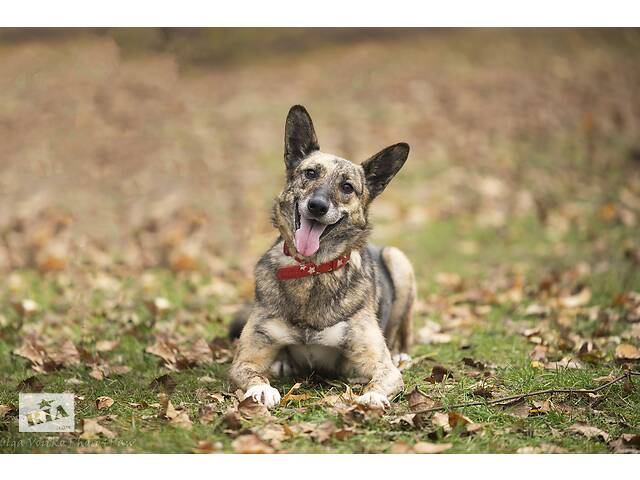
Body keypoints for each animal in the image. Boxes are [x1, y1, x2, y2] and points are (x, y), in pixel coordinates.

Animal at [230, 105, 416, 408]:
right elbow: (252, 373)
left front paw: (372, 396)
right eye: (310, 173)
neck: (312, 270)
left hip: (398, 260)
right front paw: (262, 389)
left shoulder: (380, 364)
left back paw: (401, 353)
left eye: (347, 187)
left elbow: (381, 377)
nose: (317, 206)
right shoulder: (247, 357)